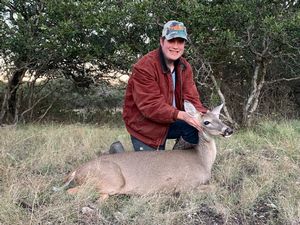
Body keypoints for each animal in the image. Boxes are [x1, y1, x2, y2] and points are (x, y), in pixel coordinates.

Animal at [58, 101, 232, 200]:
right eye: (206, 122)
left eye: (219, 118)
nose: (229, 130)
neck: (202, 161)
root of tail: (76, 171)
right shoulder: (185, 186)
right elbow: (217, 187)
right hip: (112, 178)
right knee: (73, 192)